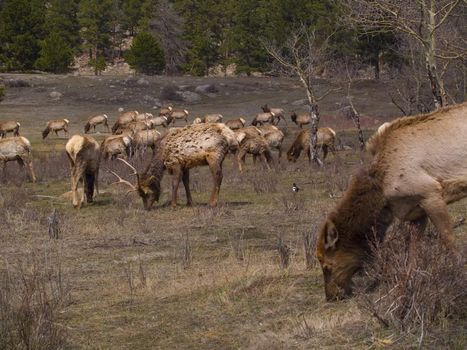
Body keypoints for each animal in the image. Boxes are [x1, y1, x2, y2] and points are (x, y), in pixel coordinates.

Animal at [110, 123, 238, 211]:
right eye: (139, 195)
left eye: (147, 193)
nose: (146, 208)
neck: (161, 155)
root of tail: (230, 136)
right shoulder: (185, 164)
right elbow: (186, 182)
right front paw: (189, 202)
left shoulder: (175, 162)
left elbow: (175, 183)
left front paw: (174, 204)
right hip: (220, 157)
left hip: (213, 155)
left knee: (218, 176)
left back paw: (212, 203)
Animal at [318, 102, 467, 300]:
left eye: (327, 266)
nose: (331, 296)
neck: (382, 195)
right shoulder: (415, 211)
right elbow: (412, 252)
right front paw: (404, 288)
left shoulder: (431, 193)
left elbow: (448, 239)